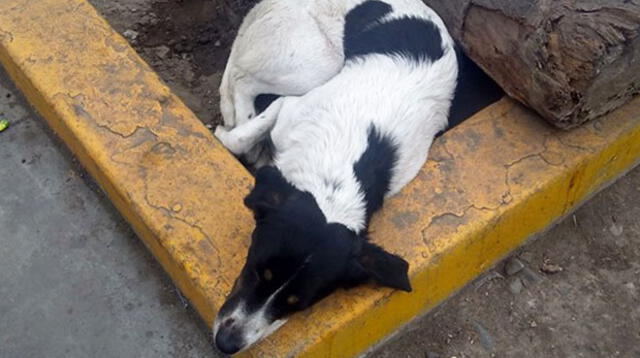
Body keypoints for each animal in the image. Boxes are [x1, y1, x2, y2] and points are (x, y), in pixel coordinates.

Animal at [212, 0, 458, 352]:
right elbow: (241, 137)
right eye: (258, 270)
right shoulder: (291, 108)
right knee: (242, 78)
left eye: (297, 303)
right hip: (314, 66)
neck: (334, 175)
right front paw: (234, 138)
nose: (226, 344)